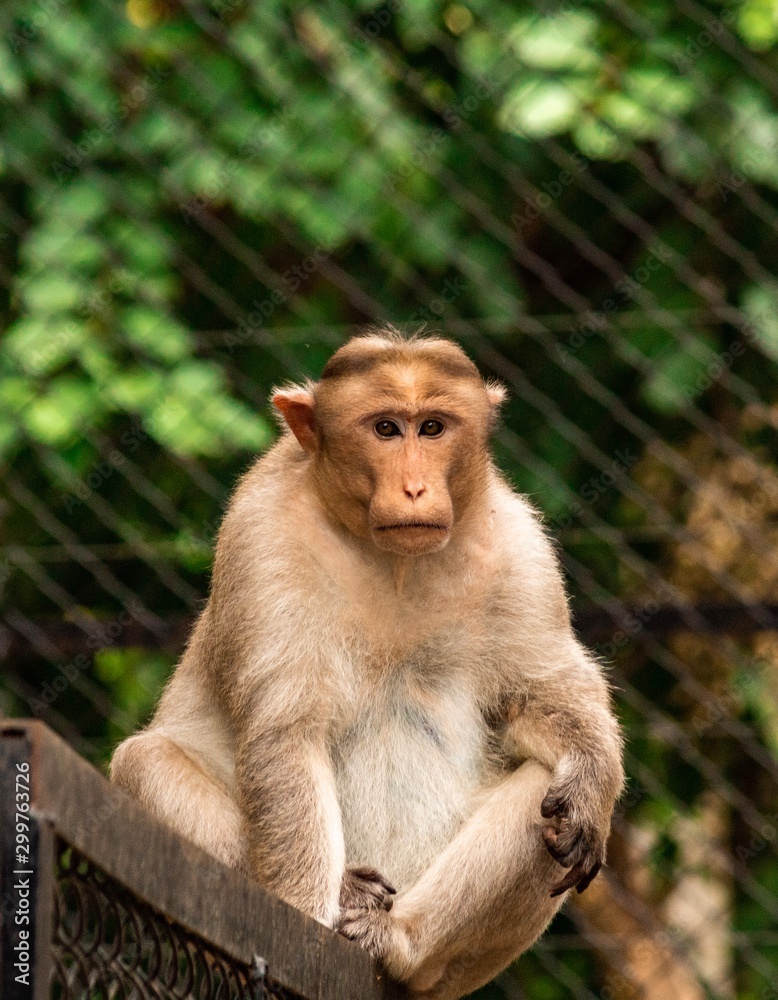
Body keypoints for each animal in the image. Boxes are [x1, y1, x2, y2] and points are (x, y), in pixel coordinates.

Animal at [111, 329, 624, 1000]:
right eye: (385, 428)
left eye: (431, 427)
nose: (414, 488)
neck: (394, 560)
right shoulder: (261, 535)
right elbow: (287, 731)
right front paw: (301, 920)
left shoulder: (521, 547)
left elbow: (544, 691)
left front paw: (593, 776)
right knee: (142, 762)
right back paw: (347, 892)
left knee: (546, 794)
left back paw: (400, 941)